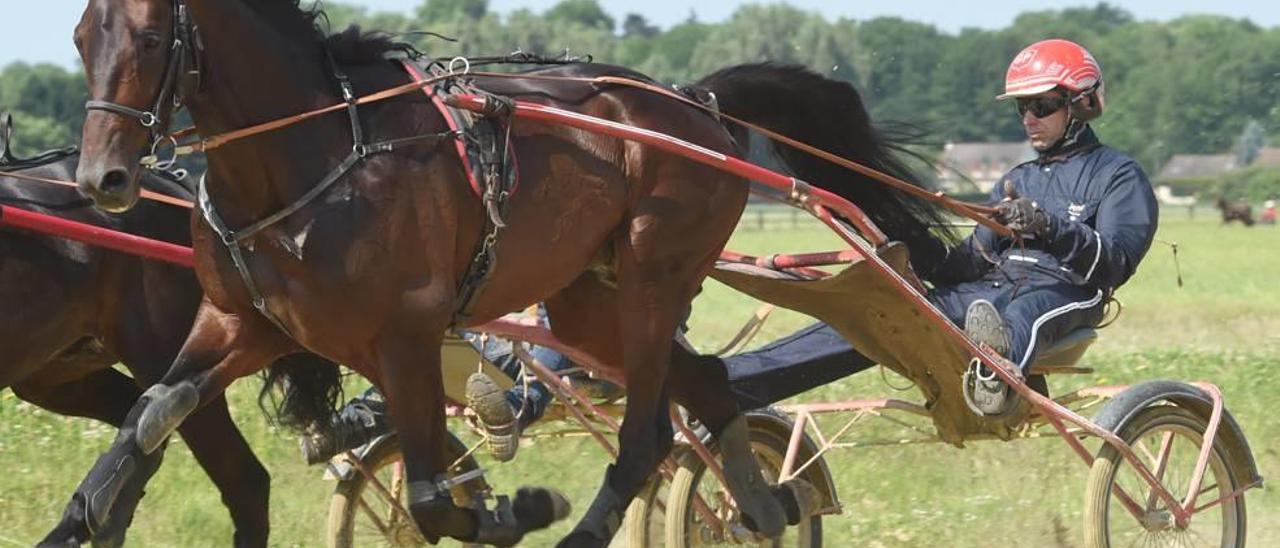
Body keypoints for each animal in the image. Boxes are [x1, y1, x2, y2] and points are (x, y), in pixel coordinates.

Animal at [60, 1, 957, 548]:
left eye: (149, 39)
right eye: (79, 37)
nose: (103, 179)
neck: (313, 158)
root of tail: (695, 101)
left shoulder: (408, 334)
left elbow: (430, 493)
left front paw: (519, 505)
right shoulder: (239, 324)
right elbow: (145, 420)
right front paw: (79, 517)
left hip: (652, 277)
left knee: (649, 431)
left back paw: (601, 524)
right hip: (587, 301)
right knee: (706, 382)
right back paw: (763, 504)